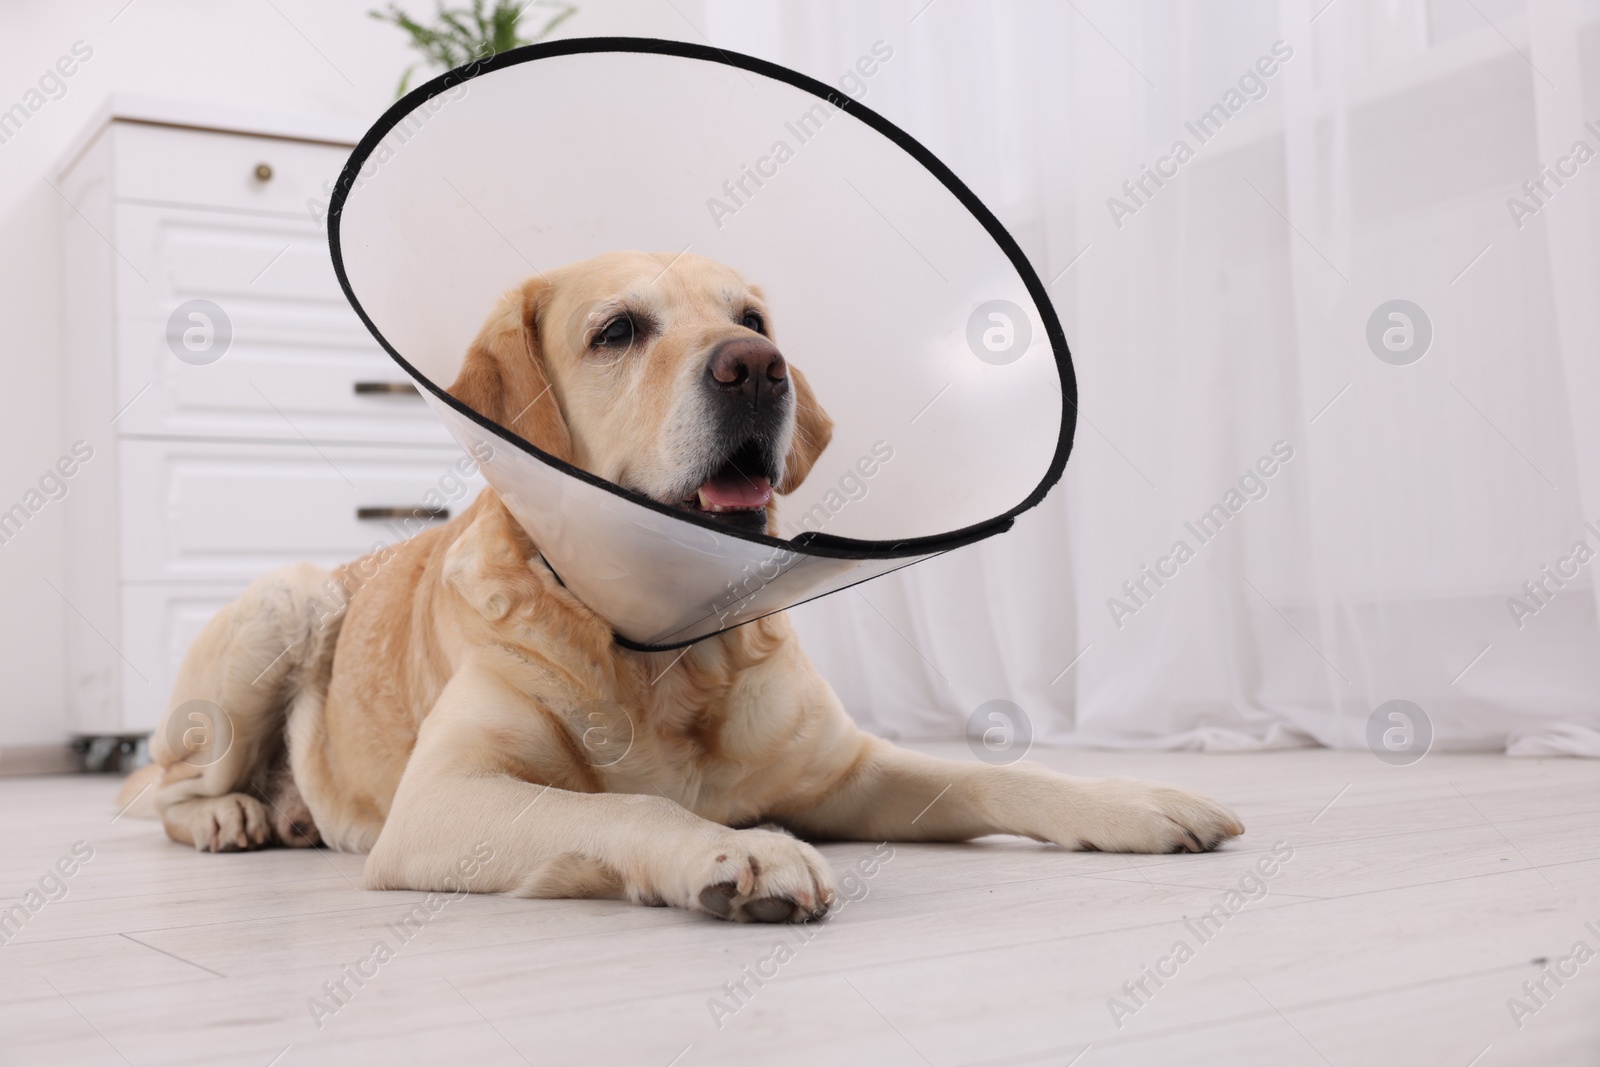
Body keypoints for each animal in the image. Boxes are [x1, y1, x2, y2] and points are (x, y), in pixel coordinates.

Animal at [131, 252, 1241, 927]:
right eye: (618, 330)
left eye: (751, 316)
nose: (758, 364)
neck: (666, 646)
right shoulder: (445, 798)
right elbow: (627, 809)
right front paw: (737, 854)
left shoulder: (849, 771)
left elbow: (992, 775)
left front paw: (1134, 798)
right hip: (285, 602)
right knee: (161, 790)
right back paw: (234, 814)